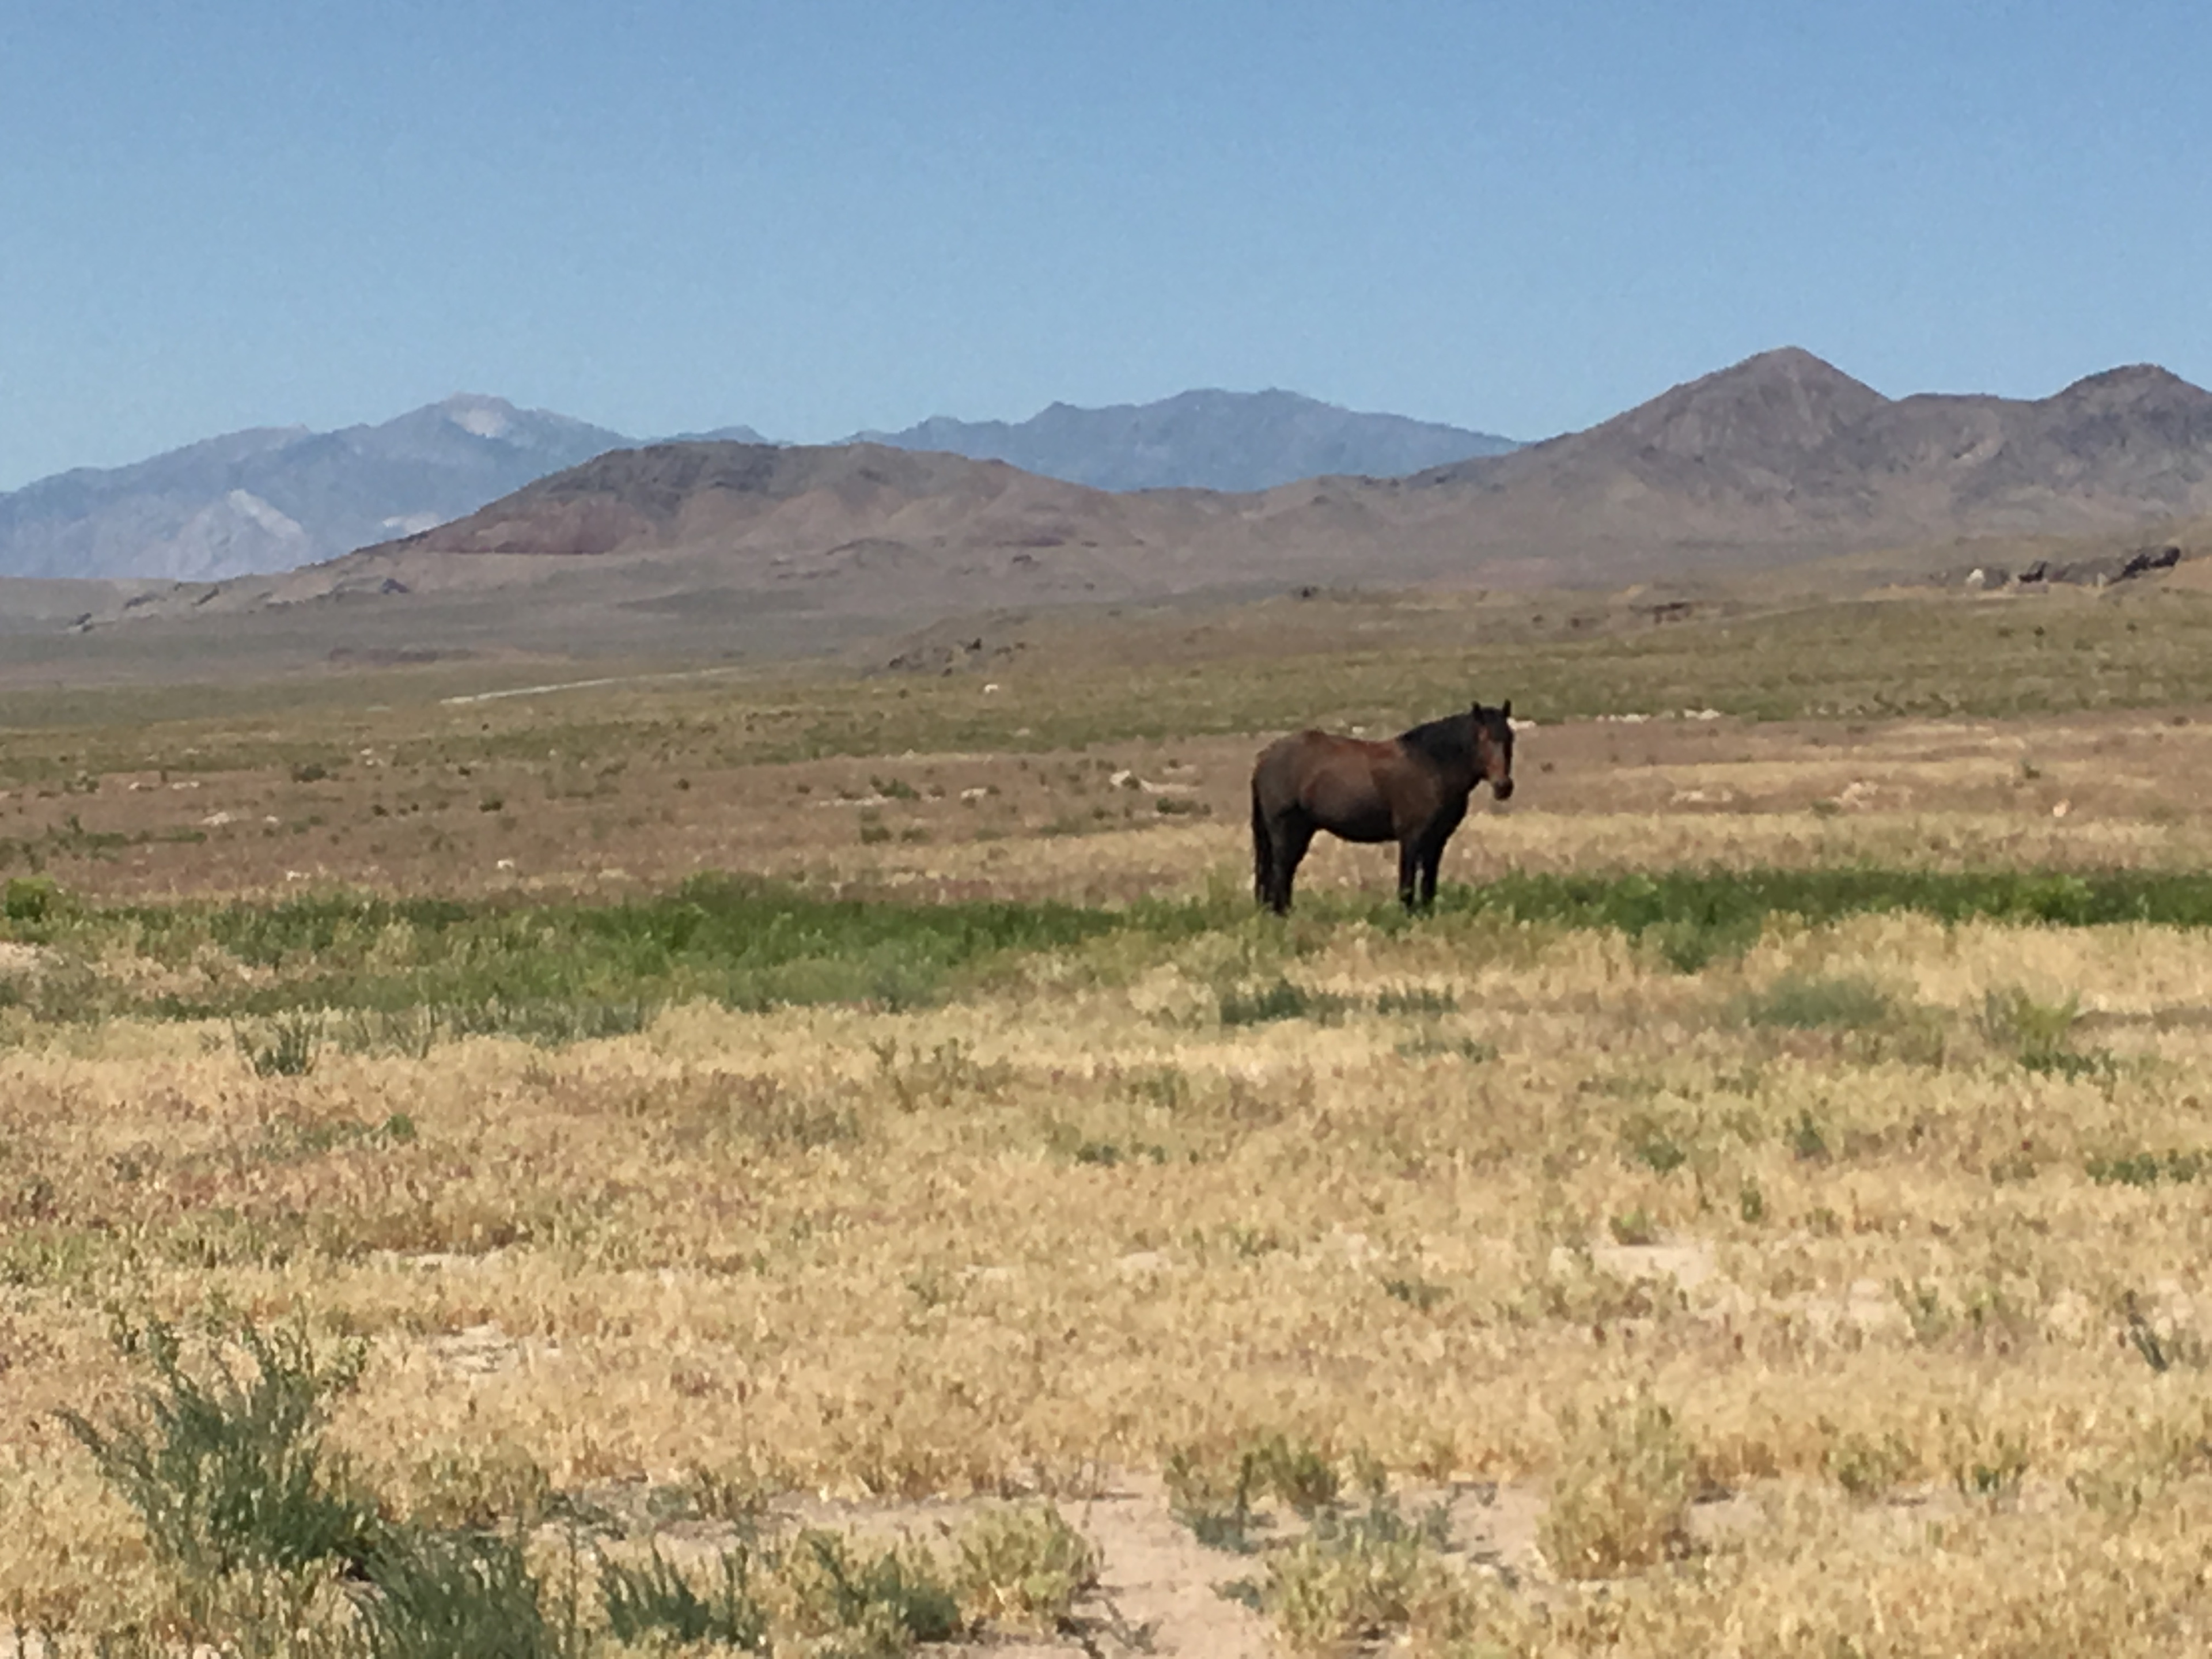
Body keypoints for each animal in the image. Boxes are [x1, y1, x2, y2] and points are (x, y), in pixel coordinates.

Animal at [1250, 701, 1514, 915]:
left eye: (1510, 737)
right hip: (1286, 832)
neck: (1431, 767)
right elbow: (1407, 884)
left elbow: (1429, 884)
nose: (1504, 787)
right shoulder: (1412, 838)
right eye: (1483, 737)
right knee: (1280, 872)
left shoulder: (1437, 841)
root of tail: (1265, 757)